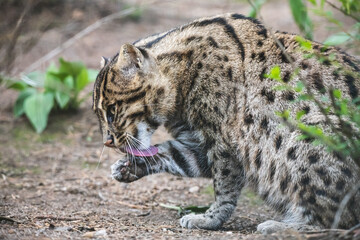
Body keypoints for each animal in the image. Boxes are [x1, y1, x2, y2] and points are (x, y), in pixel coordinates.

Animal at [93, 12, 360, 232]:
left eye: (111, 111)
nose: (107, 142)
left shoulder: (225, 141)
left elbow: (224, 187)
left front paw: (209, 219)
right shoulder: (198, 144)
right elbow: (172, 155)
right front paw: (129, 166)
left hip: (308, 137)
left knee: (337, 221)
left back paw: (283, 227)